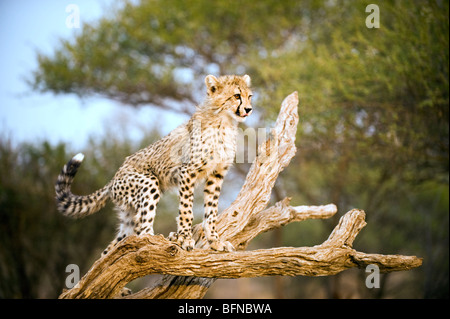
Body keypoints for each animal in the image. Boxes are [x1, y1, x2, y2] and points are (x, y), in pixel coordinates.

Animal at [54, 74, 253, 255]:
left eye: (249, 96)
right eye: (237, 96)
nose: (249, 109)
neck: (224, 121)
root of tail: (113, 179)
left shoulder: (216, 175)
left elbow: (211, 211)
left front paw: (215, 241)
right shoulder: (187, 172)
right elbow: (186, 209)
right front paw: (185, 238)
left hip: (128, 213)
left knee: (114, 247)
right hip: (148, 183)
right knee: (142, 230)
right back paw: (159, 238)